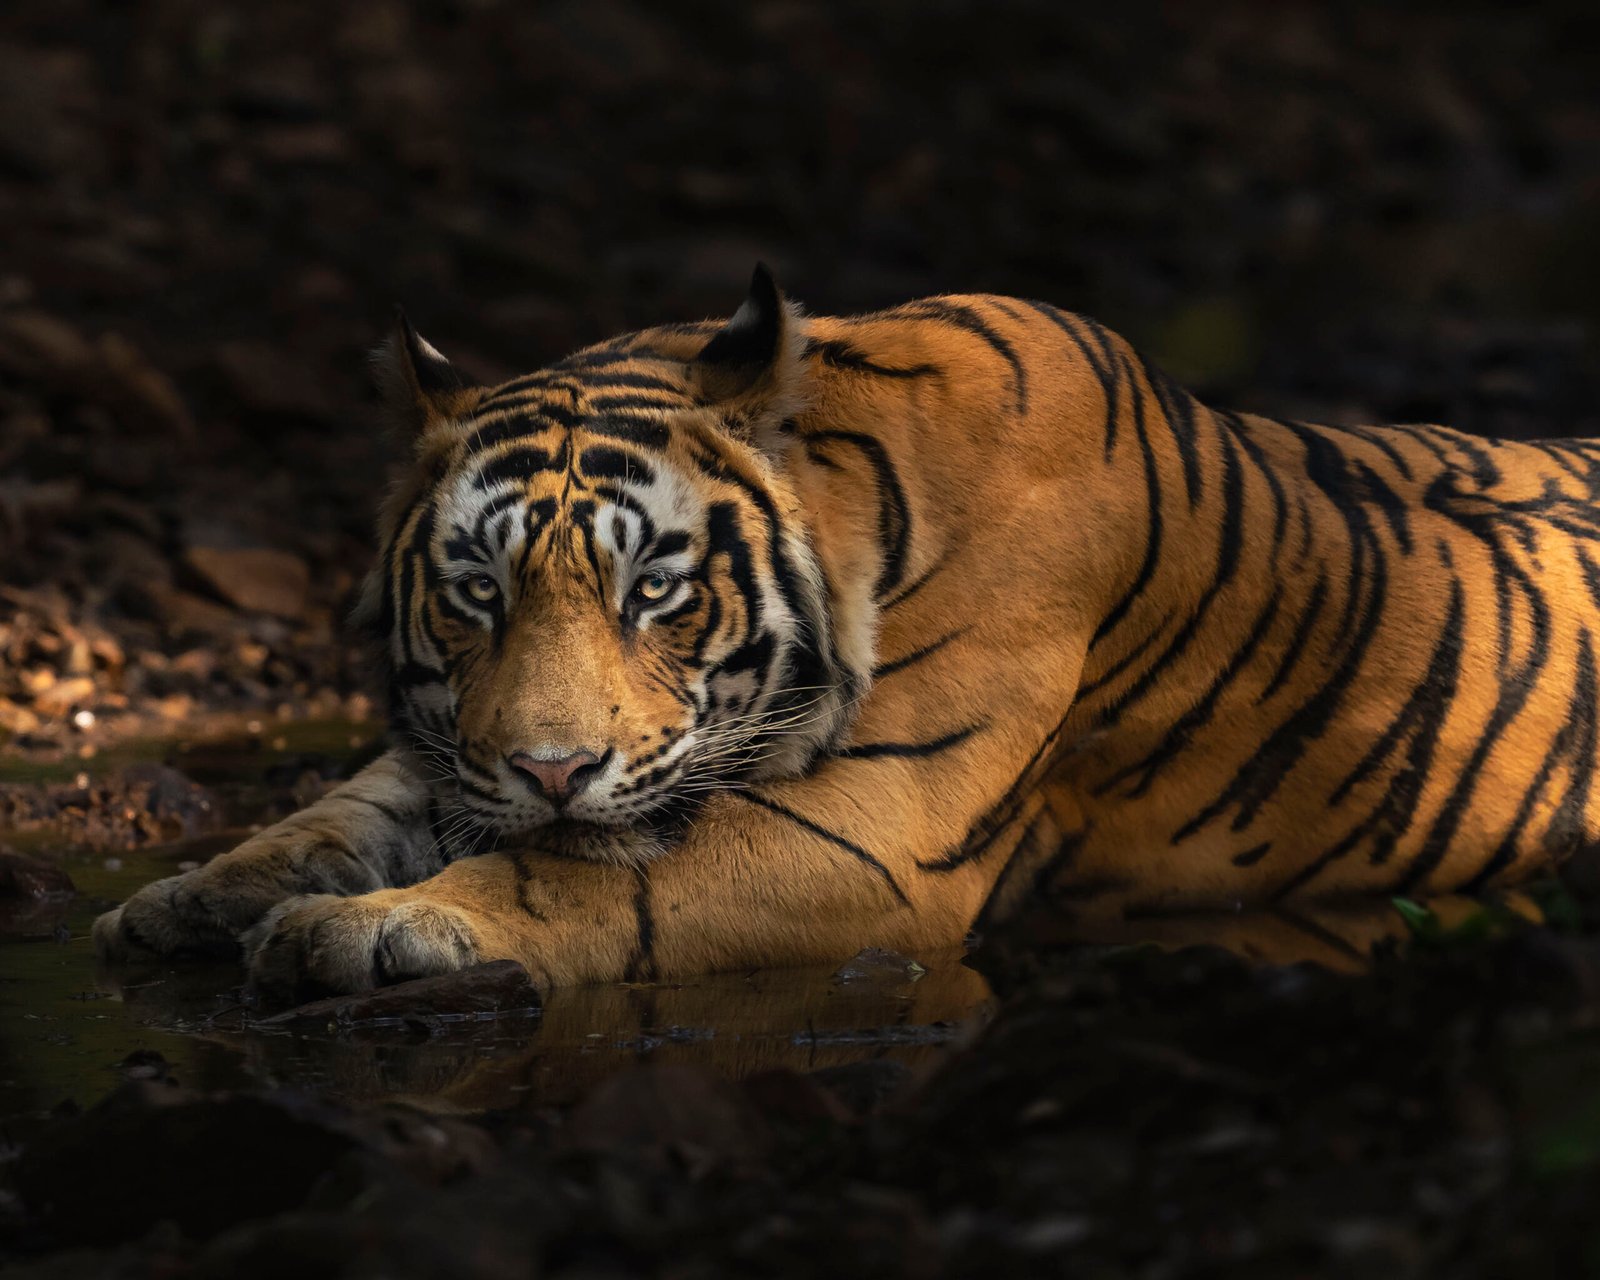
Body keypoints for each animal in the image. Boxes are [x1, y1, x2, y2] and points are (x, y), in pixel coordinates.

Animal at [93, 267, 1600, 1002]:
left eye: (654, 591)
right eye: (478, 592)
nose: (554, 770)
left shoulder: (877, 830)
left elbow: (579, 881)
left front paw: (367, 929)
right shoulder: (465, 749)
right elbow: (342, 808)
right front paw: (193, 894)